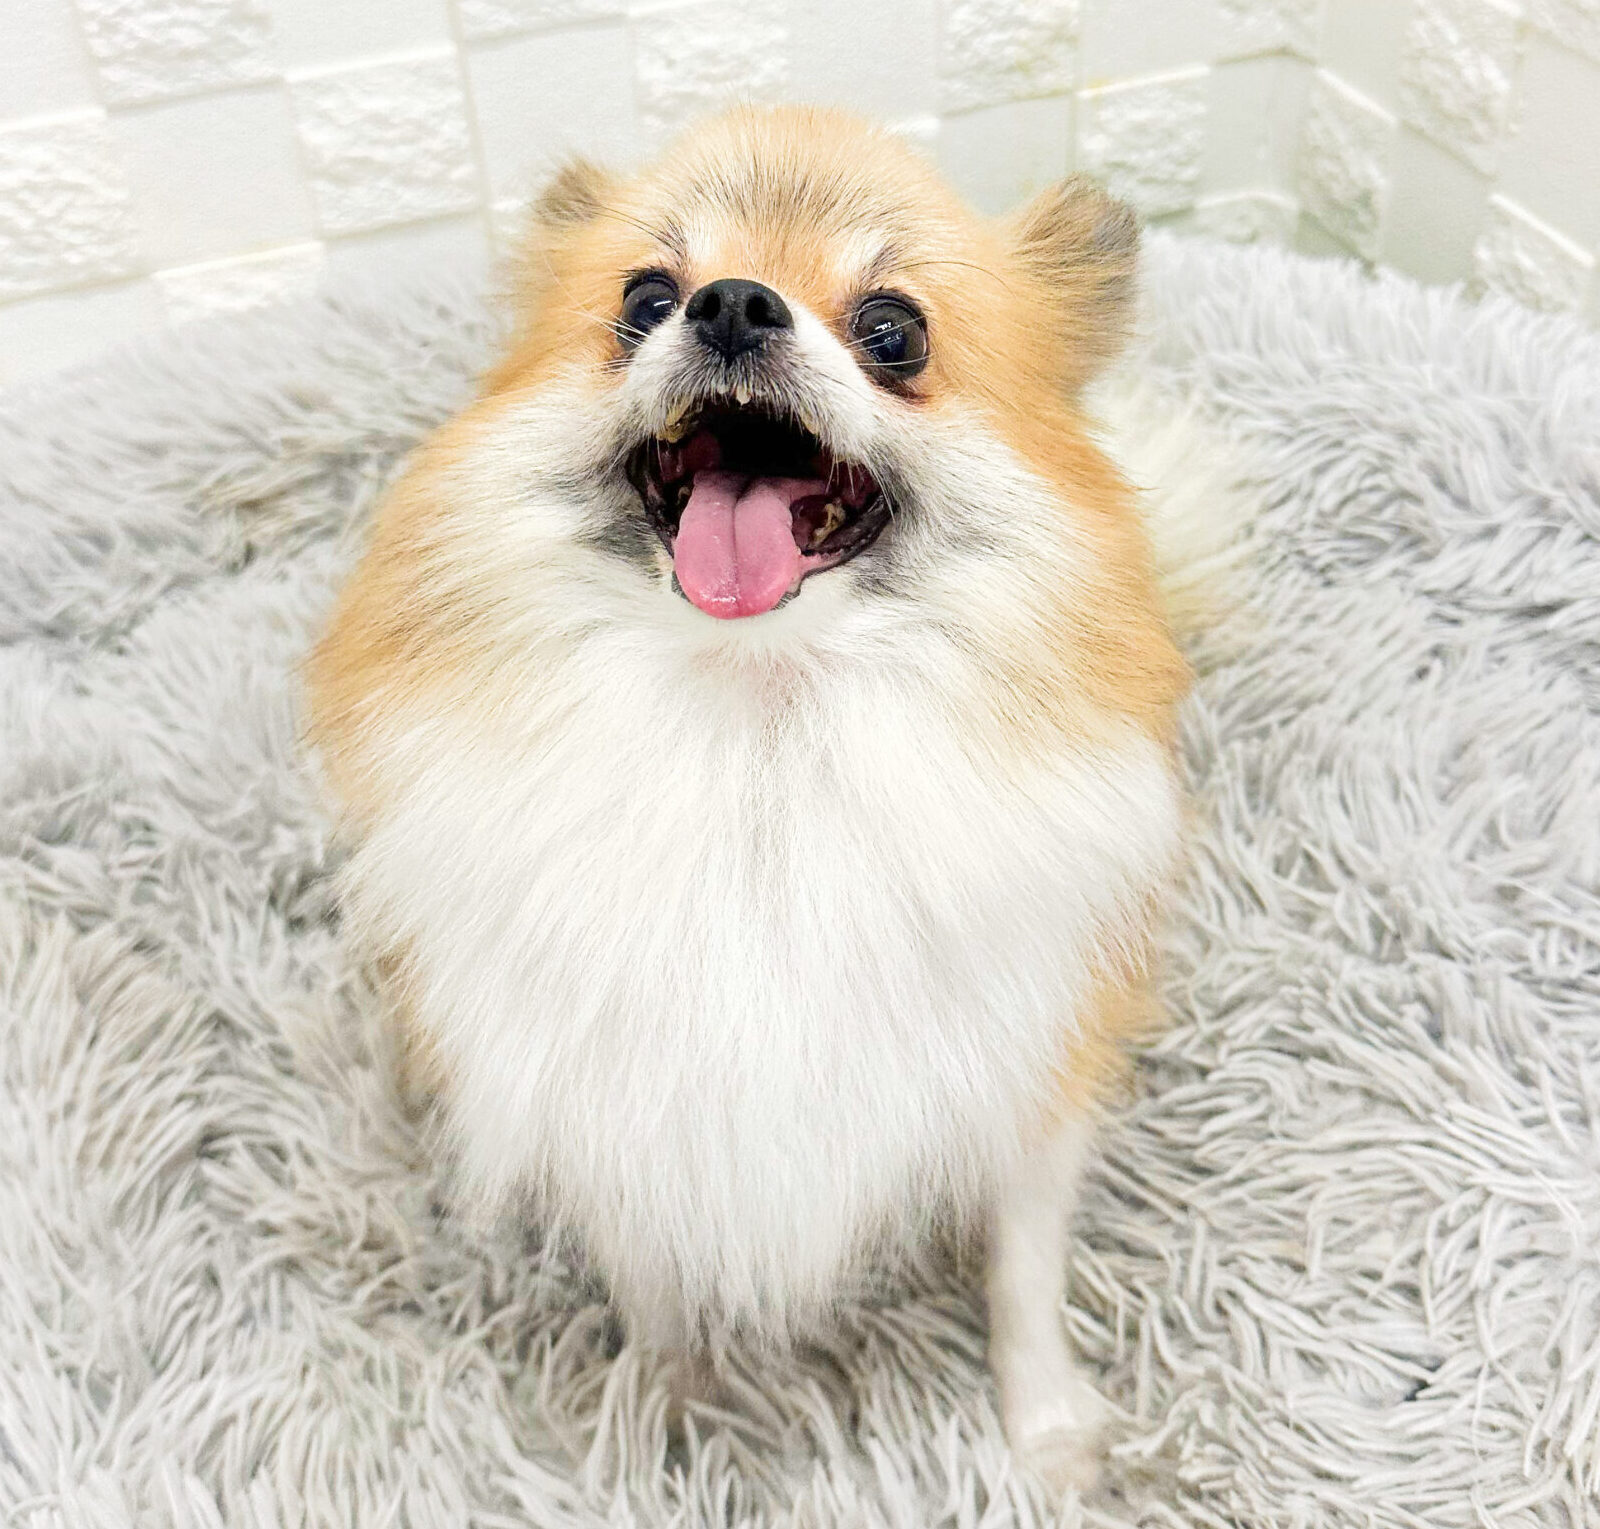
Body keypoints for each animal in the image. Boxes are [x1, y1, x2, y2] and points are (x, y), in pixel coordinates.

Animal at [306, 104, 1197, 1495]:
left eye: (893, 329)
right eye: (641, 299)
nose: (728, 304)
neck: (758, 730)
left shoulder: (1026, 1058)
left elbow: (1023, 1268)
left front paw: (1046, 1431)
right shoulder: (618, 1088)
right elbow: (655, 1281)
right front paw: (667, 1410)